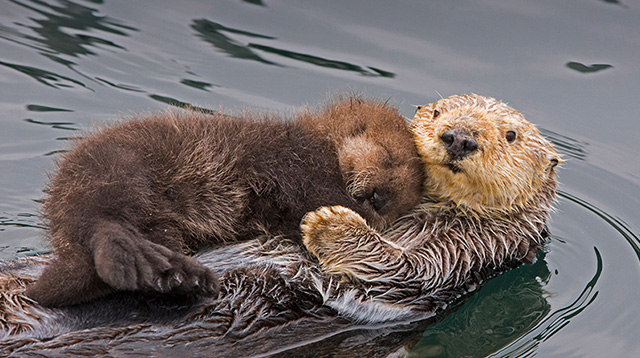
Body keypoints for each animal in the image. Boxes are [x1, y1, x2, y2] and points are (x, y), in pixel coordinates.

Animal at [25, 96, 424, 308]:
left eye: (403, 200)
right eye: (389, 158)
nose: (382, 198)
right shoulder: (300, 162)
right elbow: (317, 194)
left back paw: (177, 275)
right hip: (118, 167)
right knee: (102, 223)